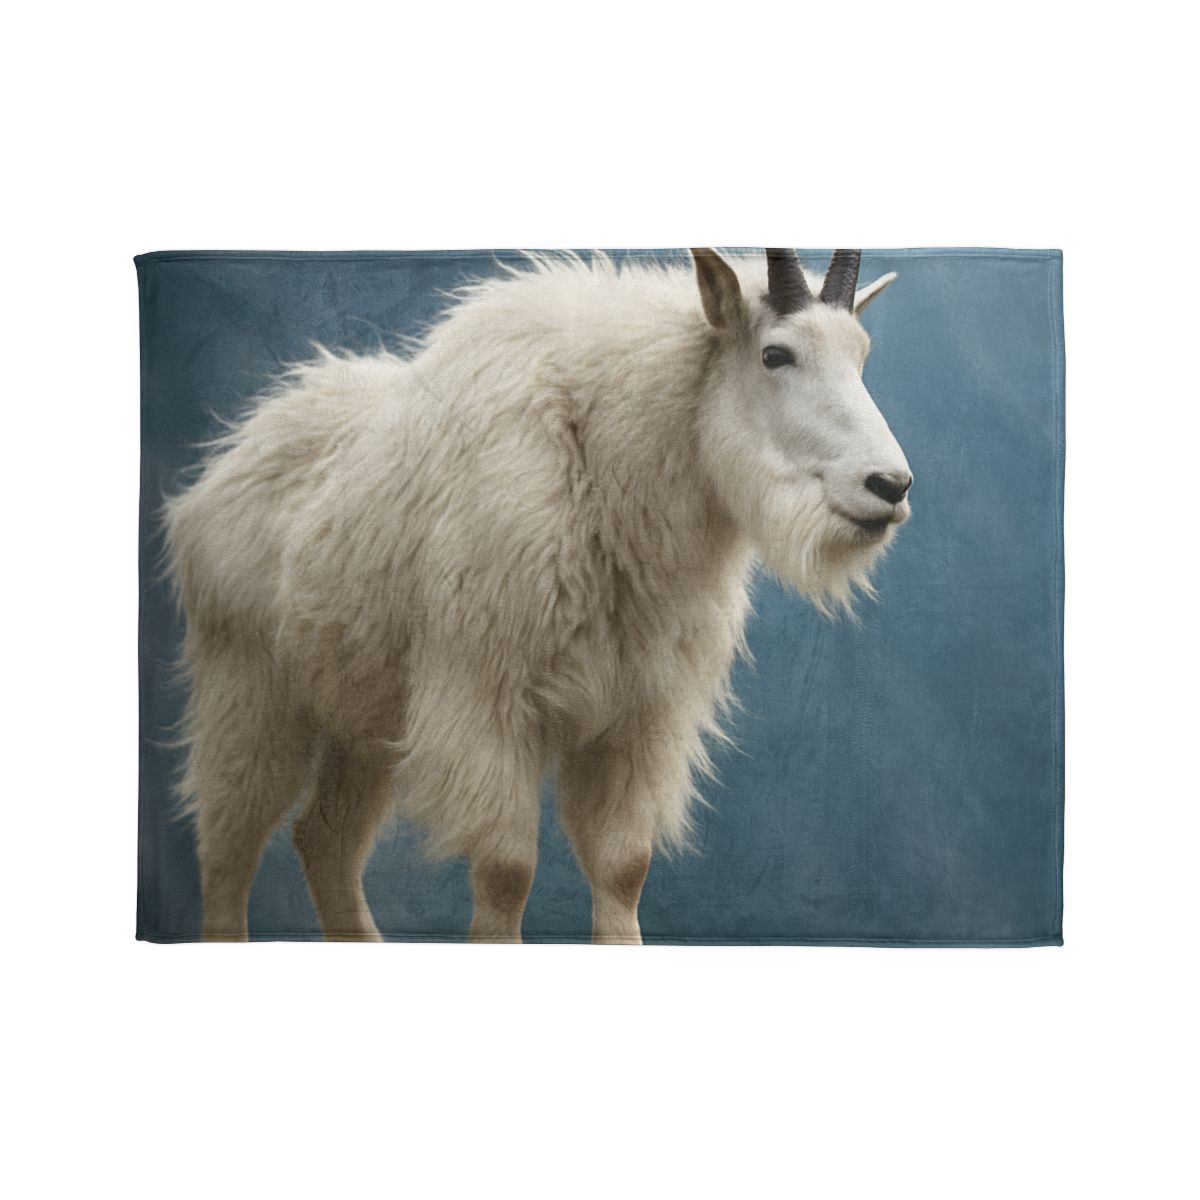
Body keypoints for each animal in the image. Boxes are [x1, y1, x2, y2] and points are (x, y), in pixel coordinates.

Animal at [164, 247, 911, 942]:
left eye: (863, 355)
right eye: (775, 354)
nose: (890, 486)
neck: (607, 464)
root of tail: (223, 468)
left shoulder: (636, 718)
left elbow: (624, 866)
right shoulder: (488, 705)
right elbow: (506, 873)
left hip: (363, 715)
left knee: (324, 837)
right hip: (252, 688)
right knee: (228, 845)